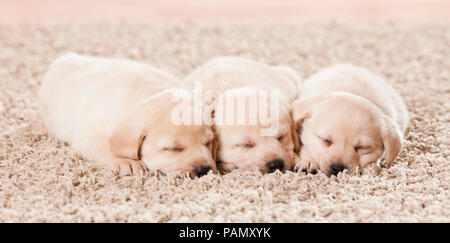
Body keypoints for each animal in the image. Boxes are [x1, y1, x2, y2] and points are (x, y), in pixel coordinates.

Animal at [39, 53, 215, 178]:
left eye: (208, 142)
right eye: (173, 149)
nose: (204, 170)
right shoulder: (87, 135)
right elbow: (107, 146)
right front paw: (127, 162)